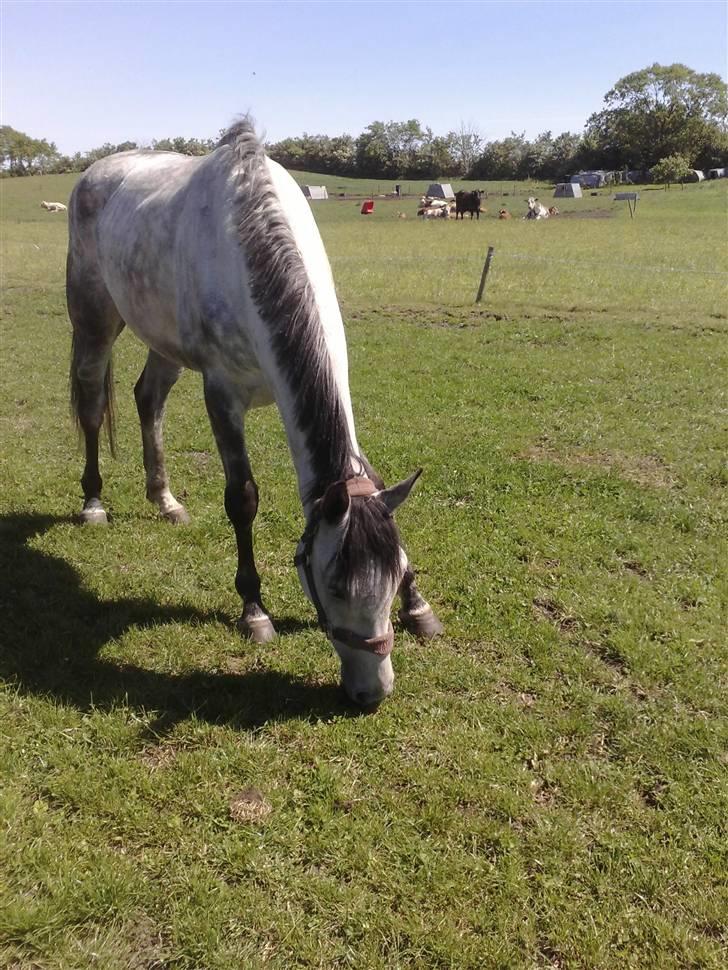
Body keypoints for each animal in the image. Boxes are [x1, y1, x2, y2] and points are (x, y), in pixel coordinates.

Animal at [67, 117, 444, 708]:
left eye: (396, 571)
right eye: (334, 585)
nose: (373, 692)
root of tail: (99, 170)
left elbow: (374, 481)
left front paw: (419, 606)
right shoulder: (222, 395)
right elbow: (242, 499)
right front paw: (254, 611)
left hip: (164, 342)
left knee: (148, 399)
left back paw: (165, 500)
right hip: (93, 321)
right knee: (90, 403)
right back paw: (93, 502)